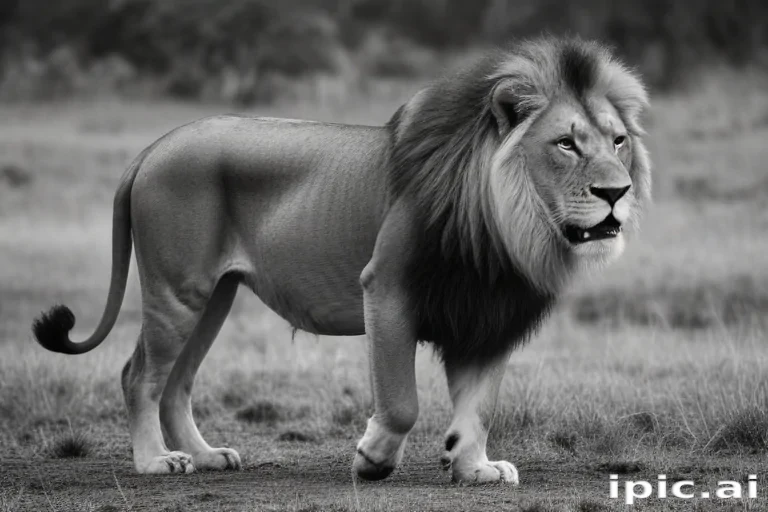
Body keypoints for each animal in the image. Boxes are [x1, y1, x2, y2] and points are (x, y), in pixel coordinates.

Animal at [32, 36, 650, 485]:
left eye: (618, 141)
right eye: (566, 144)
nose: (616, 193)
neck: (504, 228)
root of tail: (155, 145)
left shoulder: (489, 313)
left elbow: (479, 404)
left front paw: (473, 466)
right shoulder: (387, 286)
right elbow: (400, 402)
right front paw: (373, 459)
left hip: (214, 298)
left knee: (177, 383)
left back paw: (206, 457)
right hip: (178, 289)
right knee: (139, 374)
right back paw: (155, 463)